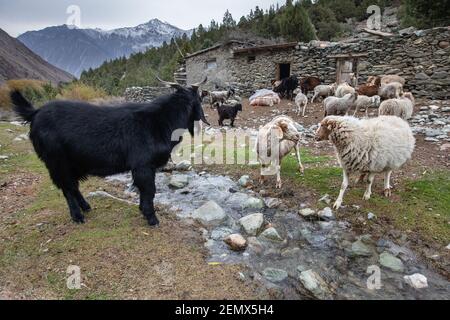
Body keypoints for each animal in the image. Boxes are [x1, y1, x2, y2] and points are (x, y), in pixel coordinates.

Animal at [10, 78, 211, 226]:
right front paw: (152, 218)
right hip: (57, 162)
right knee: (67, 188)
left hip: (72, 163)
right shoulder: (143, 166)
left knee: (73, 186)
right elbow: (149, 190)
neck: (160, 121)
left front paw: (143, 211)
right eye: (200, 99)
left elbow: (143, 190)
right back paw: (77, 216)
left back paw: (86, 207)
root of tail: (35, 113)